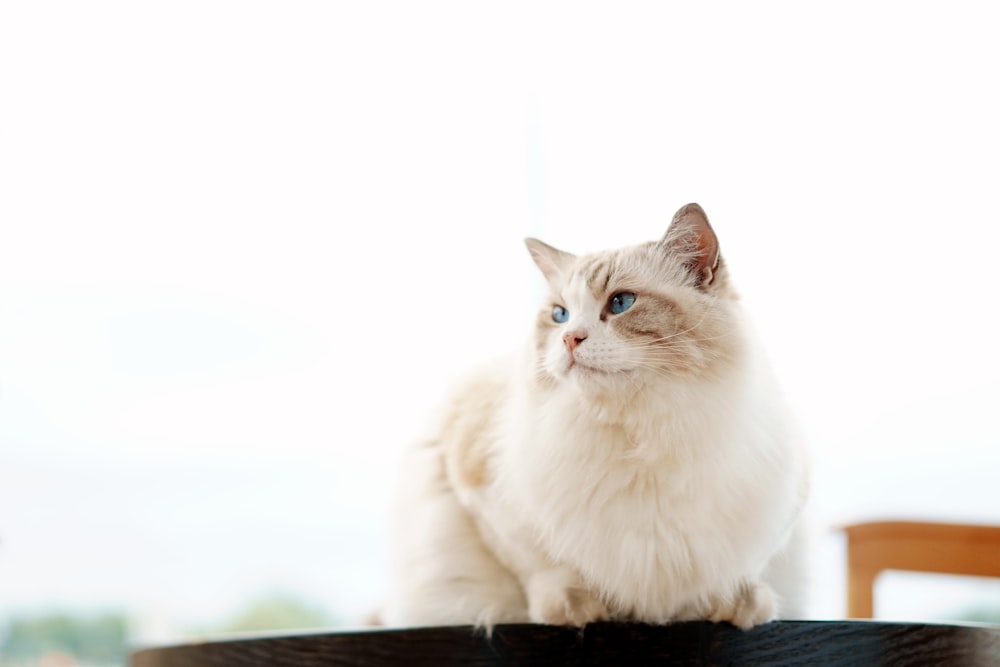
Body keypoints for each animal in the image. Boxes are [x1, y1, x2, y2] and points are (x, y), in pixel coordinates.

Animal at [382, 204, 812, 632]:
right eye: (560, 314)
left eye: (621, 303)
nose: (569, 338)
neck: (637, 434)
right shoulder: (479, 494)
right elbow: (537, 566)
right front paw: (573, 606)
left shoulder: (778, 514)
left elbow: (730, 577)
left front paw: (728, 603)